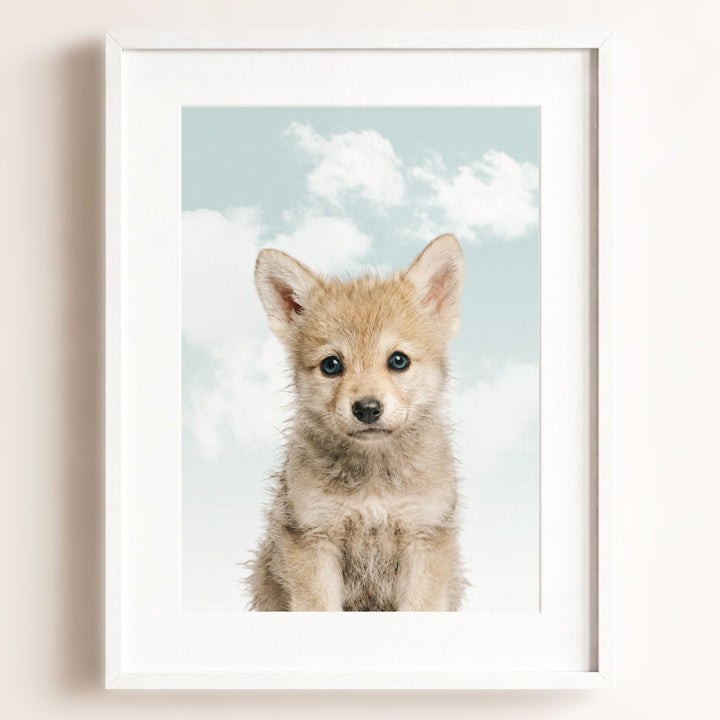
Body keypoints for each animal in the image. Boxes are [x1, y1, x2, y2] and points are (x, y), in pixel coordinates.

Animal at [246, 233, 466, 611]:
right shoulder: (313, 538)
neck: (373, 482)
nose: (367, 409)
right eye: (331, 365)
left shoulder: (424, 537)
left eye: (398, 360)